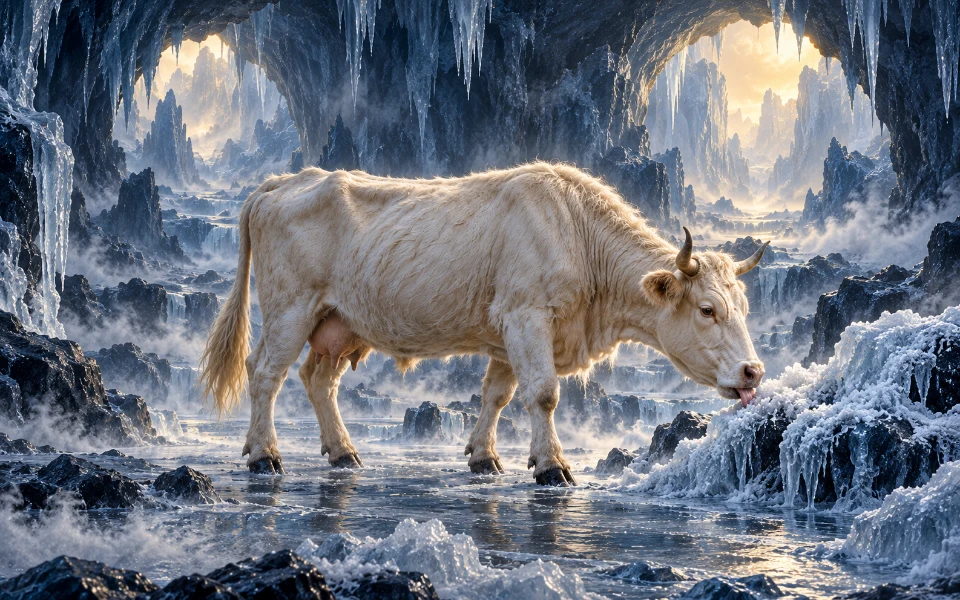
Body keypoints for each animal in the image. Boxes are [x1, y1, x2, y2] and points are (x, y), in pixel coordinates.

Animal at [200, 162, 768, 485]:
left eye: (743, 308)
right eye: (707, 309)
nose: (753, 372)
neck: (577, 231)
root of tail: (285, 181)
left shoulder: (507, 334)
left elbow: (497, 394)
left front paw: (483, 457)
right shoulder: (527, 316)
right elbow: (543, 394)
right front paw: (552, 466)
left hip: (338, 324)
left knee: (317, 380)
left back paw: (343, 452)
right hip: (290, 308)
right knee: (264, 373)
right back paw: (264, 455)